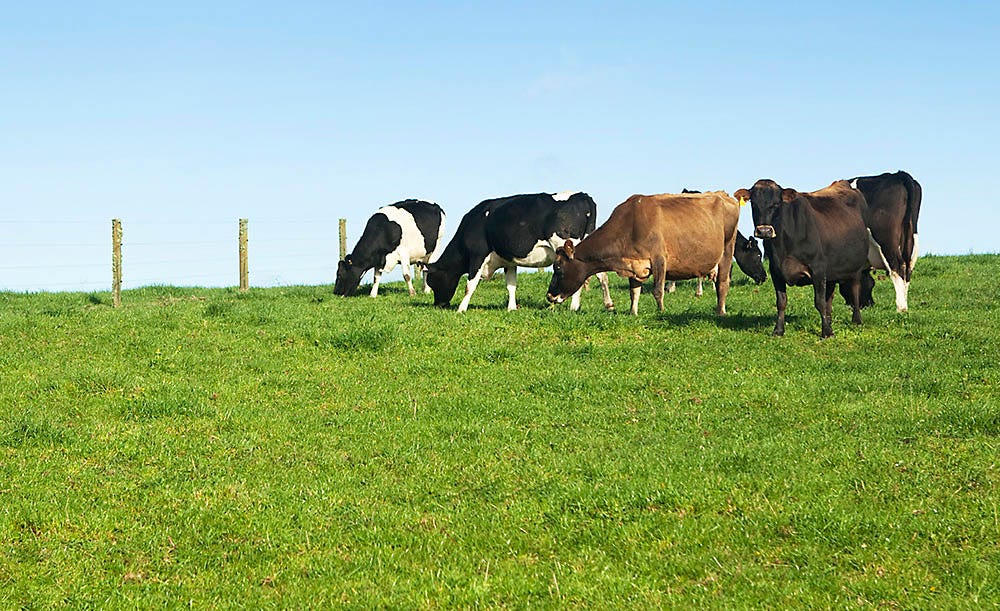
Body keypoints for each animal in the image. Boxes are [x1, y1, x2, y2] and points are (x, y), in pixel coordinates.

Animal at [420, 191, 608, 314]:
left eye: (432, 280)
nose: (439, 305)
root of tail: (583, 196)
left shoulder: (477, 256)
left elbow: (469, 285)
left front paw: (461, 309)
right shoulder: (509, 261)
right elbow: (511, 284)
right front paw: (511, 308)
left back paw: (574, 306)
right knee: (602, 275)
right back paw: (607, 304)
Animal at [544, 190, 740, 316]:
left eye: (558, 268)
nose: (549, 296)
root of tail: (723, 195)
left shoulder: (659, 259)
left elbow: (658, 290)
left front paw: (661, 312)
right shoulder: (633, 264)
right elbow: (634, 291)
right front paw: (633, 312)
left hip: (727, 250)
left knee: (723, 283)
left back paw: (721, 311)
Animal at [732, 179, 872, 340]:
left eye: (776, 204)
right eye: (754, 204)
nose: (764, 231)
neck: (783, 246)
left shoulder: (818, 269)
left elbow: (819, 302)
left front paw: (826, 332)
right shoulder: (775, 271)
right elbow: (781, 302)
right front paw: (778, 330)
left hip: (856, 267)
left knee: (855, 291)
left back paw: (856, 320)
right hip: (831, 272)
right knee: (829, 298)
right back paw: (830, 321)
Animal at [848, 170, 924, 310]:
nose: (868, 305)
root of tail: (897, 175)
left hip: (886, 239)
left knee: (897, 266)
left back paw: (901, 307)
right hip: (912, 236)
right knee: (908, 267)